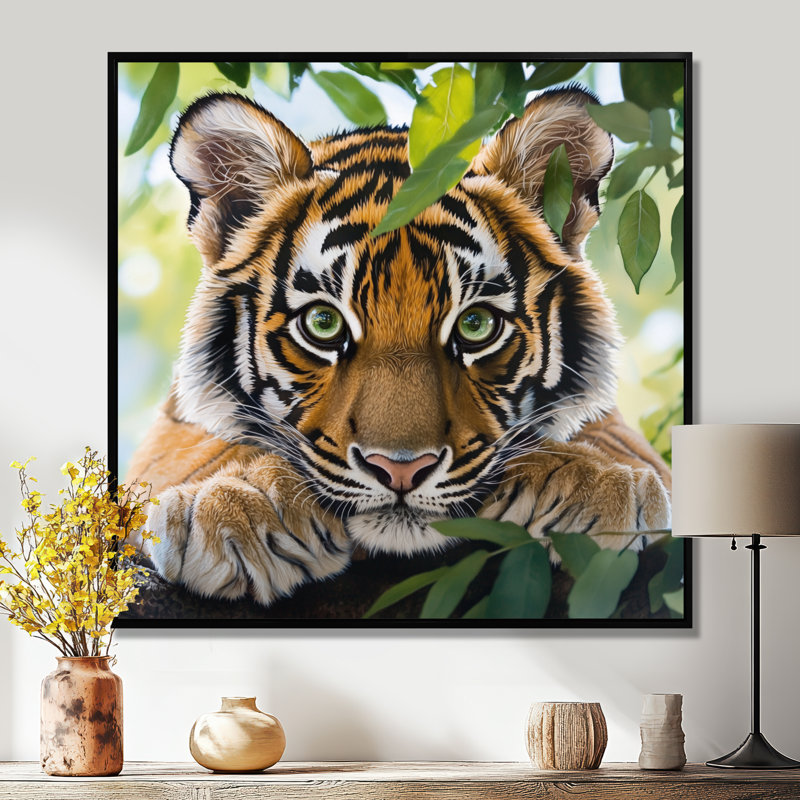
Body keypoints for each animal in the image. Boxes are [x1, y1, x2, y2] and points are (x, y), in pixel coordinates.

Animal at [126, 86, 672, 608]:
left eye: (476, 325)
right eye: (323, 323)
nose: (401, 470)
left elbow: (615, 437)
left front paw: (595, 481)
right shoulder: (173, 423)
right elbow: (197, 448)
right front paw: (242, 499)